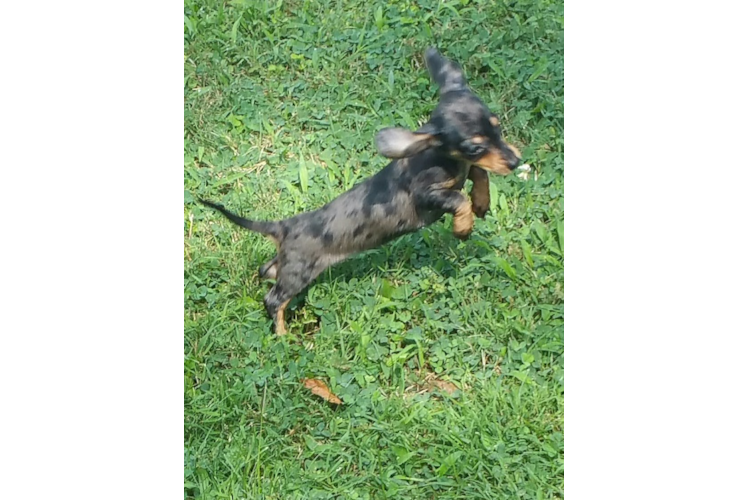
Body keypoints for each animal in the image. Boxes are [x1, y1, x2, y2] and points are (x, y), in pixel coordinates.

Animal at [202, 47, 524, 336]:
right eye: (474, 147)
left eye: (498, 127)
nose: (515, 161)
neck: (441, 157)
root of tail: (284, 226)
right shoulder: (426, 195)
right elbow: (458, 196)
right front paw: (463, 226)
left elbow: (479, 174)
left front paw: (481, 202)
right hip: (298, 272)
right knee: (273, 300)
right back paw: (283, 337)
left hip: (287, 264)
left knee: (266, 270)